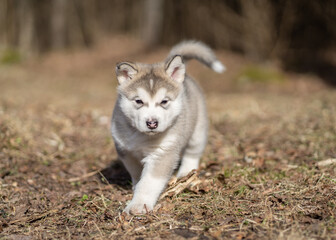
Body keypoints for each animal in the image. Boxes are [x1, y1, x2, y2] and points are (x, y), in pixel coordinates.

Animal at [111, 40, 224, 215]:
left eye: (164, 101)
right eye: (138, 101)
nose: (152, 123)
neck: (143, 136)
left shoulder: (162, 153)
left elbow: (149, 182)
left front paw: (139, 205)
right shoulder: (125, 151)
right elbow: (137, 174)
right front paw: (136, 188)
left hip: (197, 131)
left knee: (192, 153)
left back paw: (186, 172)